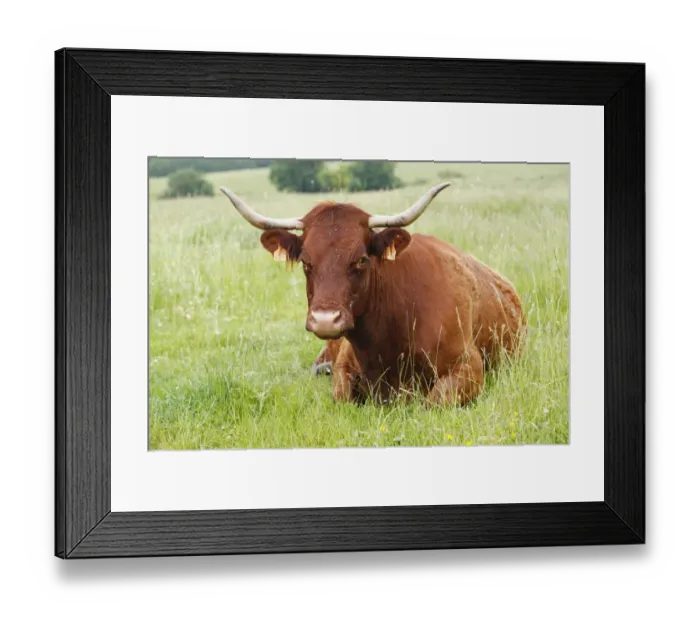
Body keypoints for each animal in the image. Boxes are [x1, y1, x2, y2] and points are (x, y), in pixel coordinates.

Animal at [220, 183, 526, 406]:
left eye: (361, 259)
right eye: (306, 262)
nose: (325, 319)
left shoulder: (468, 366)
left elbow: (433, 402)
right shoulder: (344, 368)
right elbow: (342, 397)